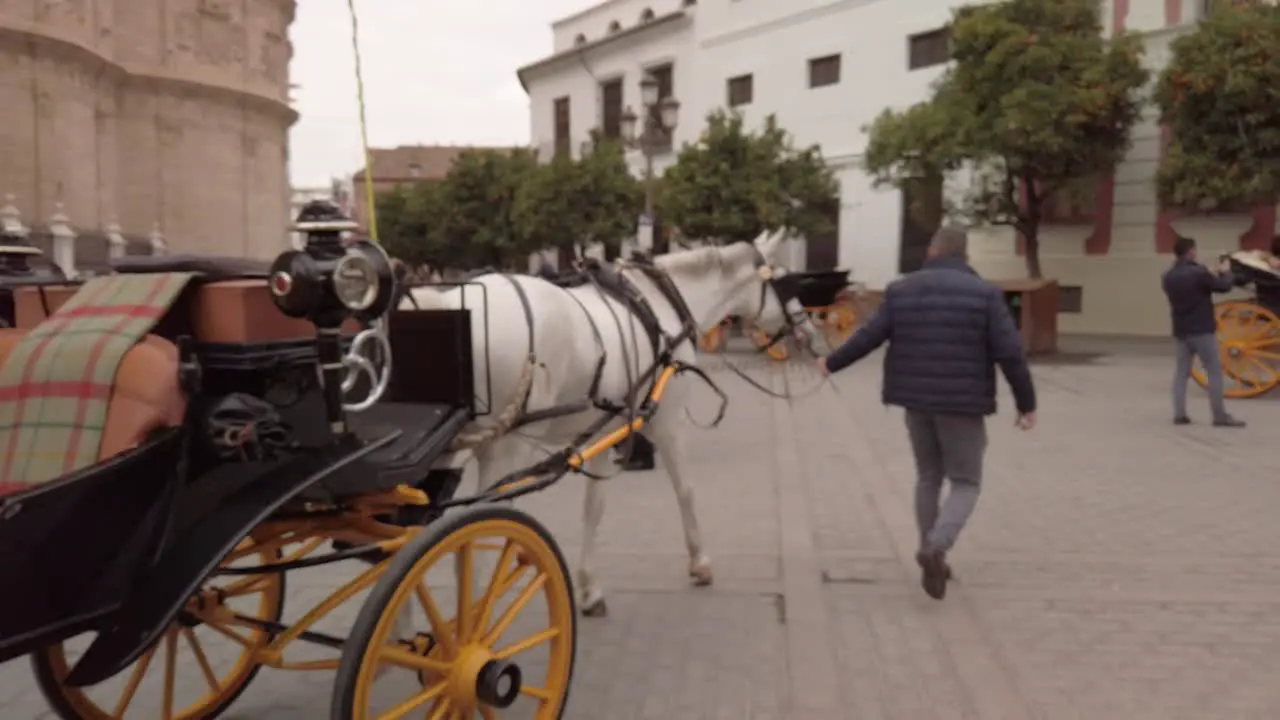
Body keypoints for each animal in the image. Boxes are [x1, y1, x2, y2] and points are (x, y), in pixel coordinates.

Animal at [404, 228, 814, 609]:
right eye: (785, 280)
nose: (806, 327)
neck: (661, 302)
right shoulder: (669, 423)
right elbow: (685, 489)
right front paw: (699, 562)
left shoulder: (601, 433)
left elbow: (593, 508)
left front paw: (589, 587)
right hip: (506, 448)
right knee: (477, 545)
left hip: (444, 453)